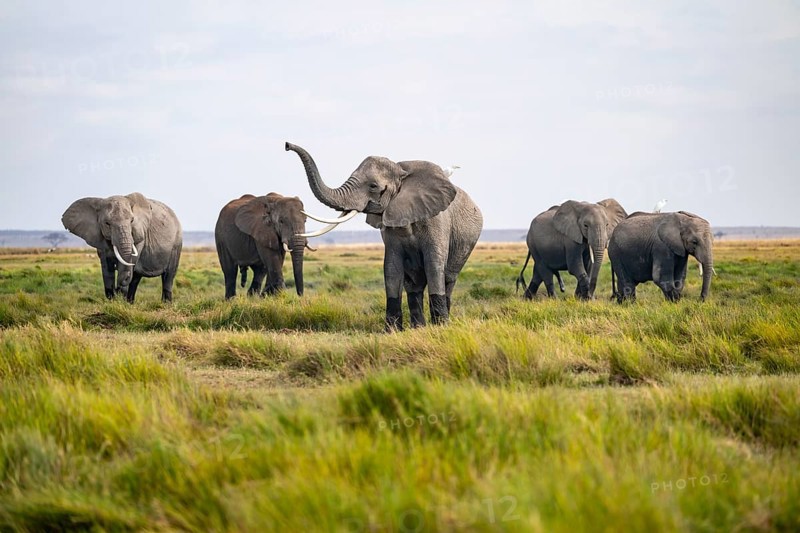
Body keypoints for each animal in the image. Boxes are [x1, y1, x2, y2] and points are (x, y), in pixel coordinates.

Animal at [285, 142, 483, 330]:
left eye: (373, 186)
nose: (287, 145)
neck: (402, 172)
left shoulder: (437, 221)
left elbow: (434, 265)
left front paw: (440, 328)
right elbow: (391, 267)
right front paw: (392, 331)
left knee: (447, 280)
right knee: (414, 285)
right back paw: (418, 328)